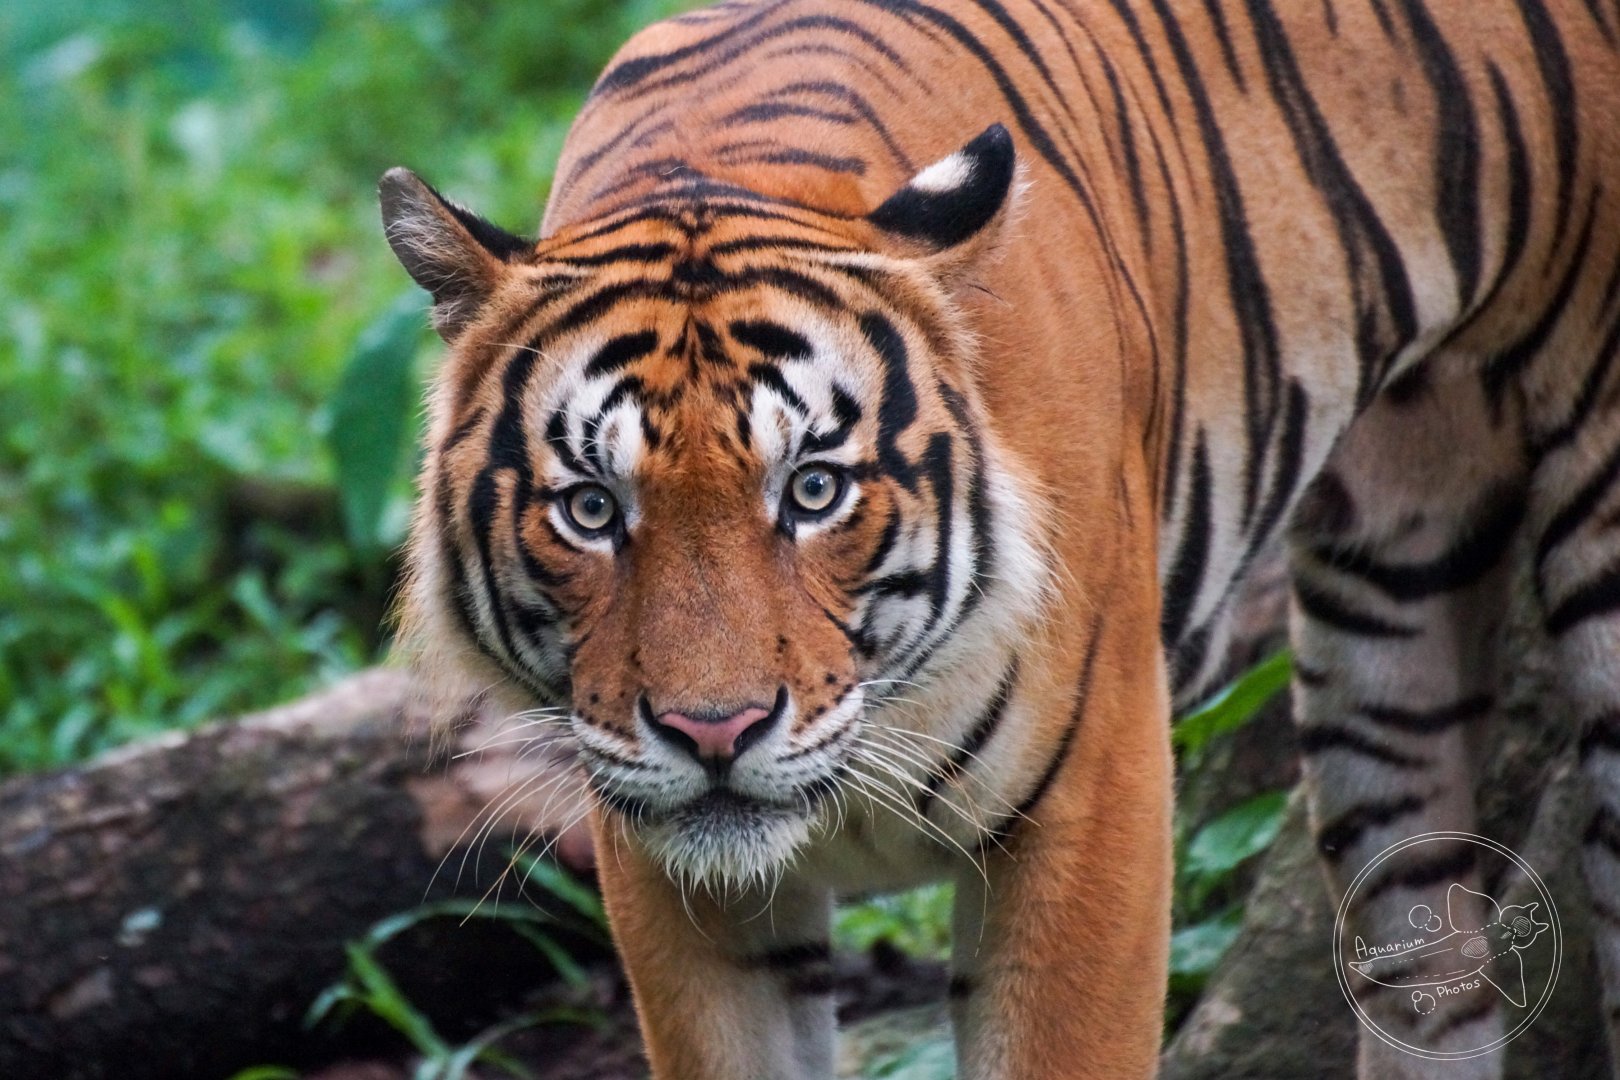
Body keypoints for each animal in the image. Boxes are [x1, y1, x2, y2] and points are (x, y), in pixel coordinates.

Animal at [378, 0, 1620, 1076]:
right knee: (1428, 955)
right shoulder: (675, 874)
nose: (712, 732)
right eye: (592, 508)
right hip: (1389, 607)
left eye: (813, 490)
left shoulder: (1099, 797)